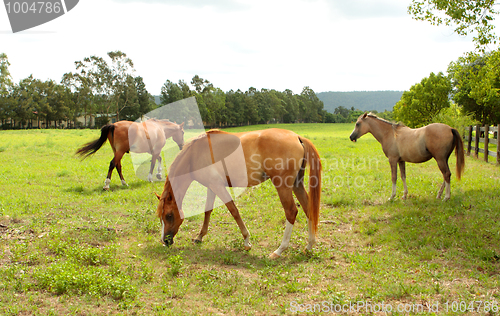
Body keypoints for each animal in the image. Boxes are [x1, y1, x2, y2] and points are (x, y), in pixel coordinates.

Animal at [154, 128, 322, 260]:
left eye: (169, 215)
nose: (165, 241)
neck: (195, 154)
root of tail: (297, 137)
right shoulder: (211, 187)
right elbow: (208, 210)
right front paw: (200, 237)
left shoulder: (218, 186)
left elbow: (234, 211)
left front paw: (247, 241)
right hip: (296, 184)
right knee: (308, 208)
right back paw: (309, 245)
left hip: (283, 186)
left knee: (291, 212)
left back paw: (279, 250)